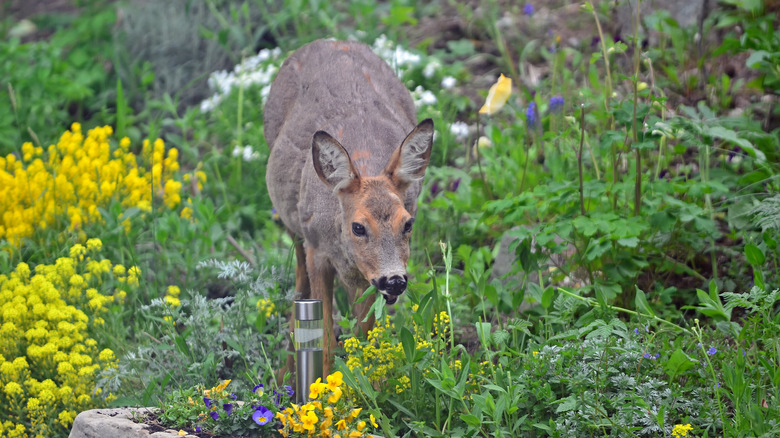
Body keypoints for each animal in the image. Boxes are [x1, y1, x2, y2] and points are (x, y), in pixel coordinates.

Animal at [262, 40, 432, 376]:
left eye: (408, 223)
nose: (395, 280)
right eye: (358, 226)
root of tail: (330, 40)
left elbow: (365, 339)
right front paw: (324, 384)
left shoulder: (367, 277)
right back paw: (285, 371)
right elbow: (326, 340)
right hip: (294, 227)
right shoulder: (318, 252)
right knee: (298, 285)